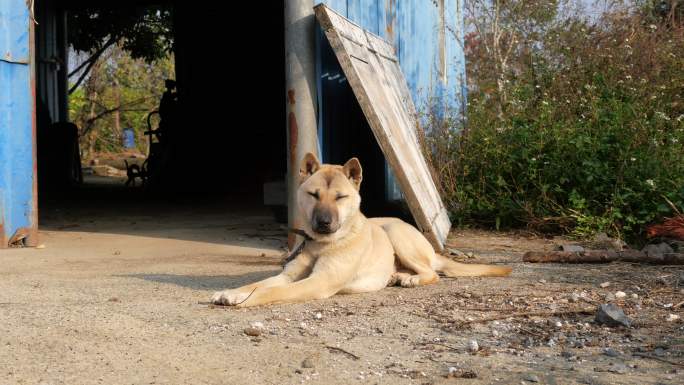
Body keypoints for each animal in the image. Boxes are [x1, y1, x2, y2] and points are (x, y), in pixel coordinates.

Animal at [211, 153, 510, 306]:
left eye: (340, 197)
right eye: (313, 195)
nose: (323, 222)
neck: (322, 243)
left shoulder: (319, 282)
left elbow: (270, 291)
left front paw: (246, 299)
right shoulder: (288, 276)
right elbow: (257, 283)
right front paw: (233, 292)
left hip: (395, 233)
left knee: (432, 272)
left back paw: (411, 279)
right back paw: (397, 275)